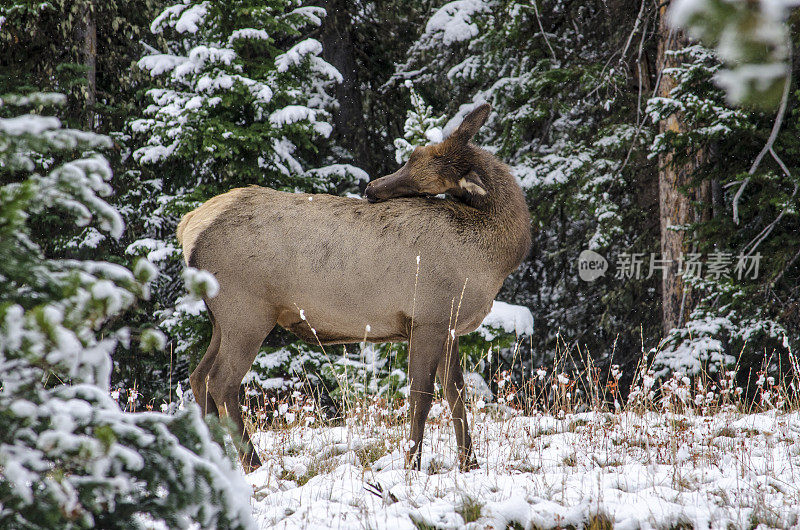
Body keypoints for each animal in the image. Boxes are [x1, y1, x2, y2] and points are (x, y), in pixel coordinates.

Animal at [178, 103, 536, 470]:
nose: (371, 189)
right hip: (247, 312)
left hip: (221, 318)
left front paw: (470, 463)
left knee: (199, 376)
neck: (491, 262)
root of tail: (188, 226)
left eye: (424, 178)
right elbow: (421, 395)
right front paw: (412, 464)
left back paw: (217, 460)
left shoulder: (449, 326)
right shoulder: (428, 318)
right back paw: (253, 464)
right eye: (412, 156)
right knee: (222, 381)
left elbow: (456, 393)